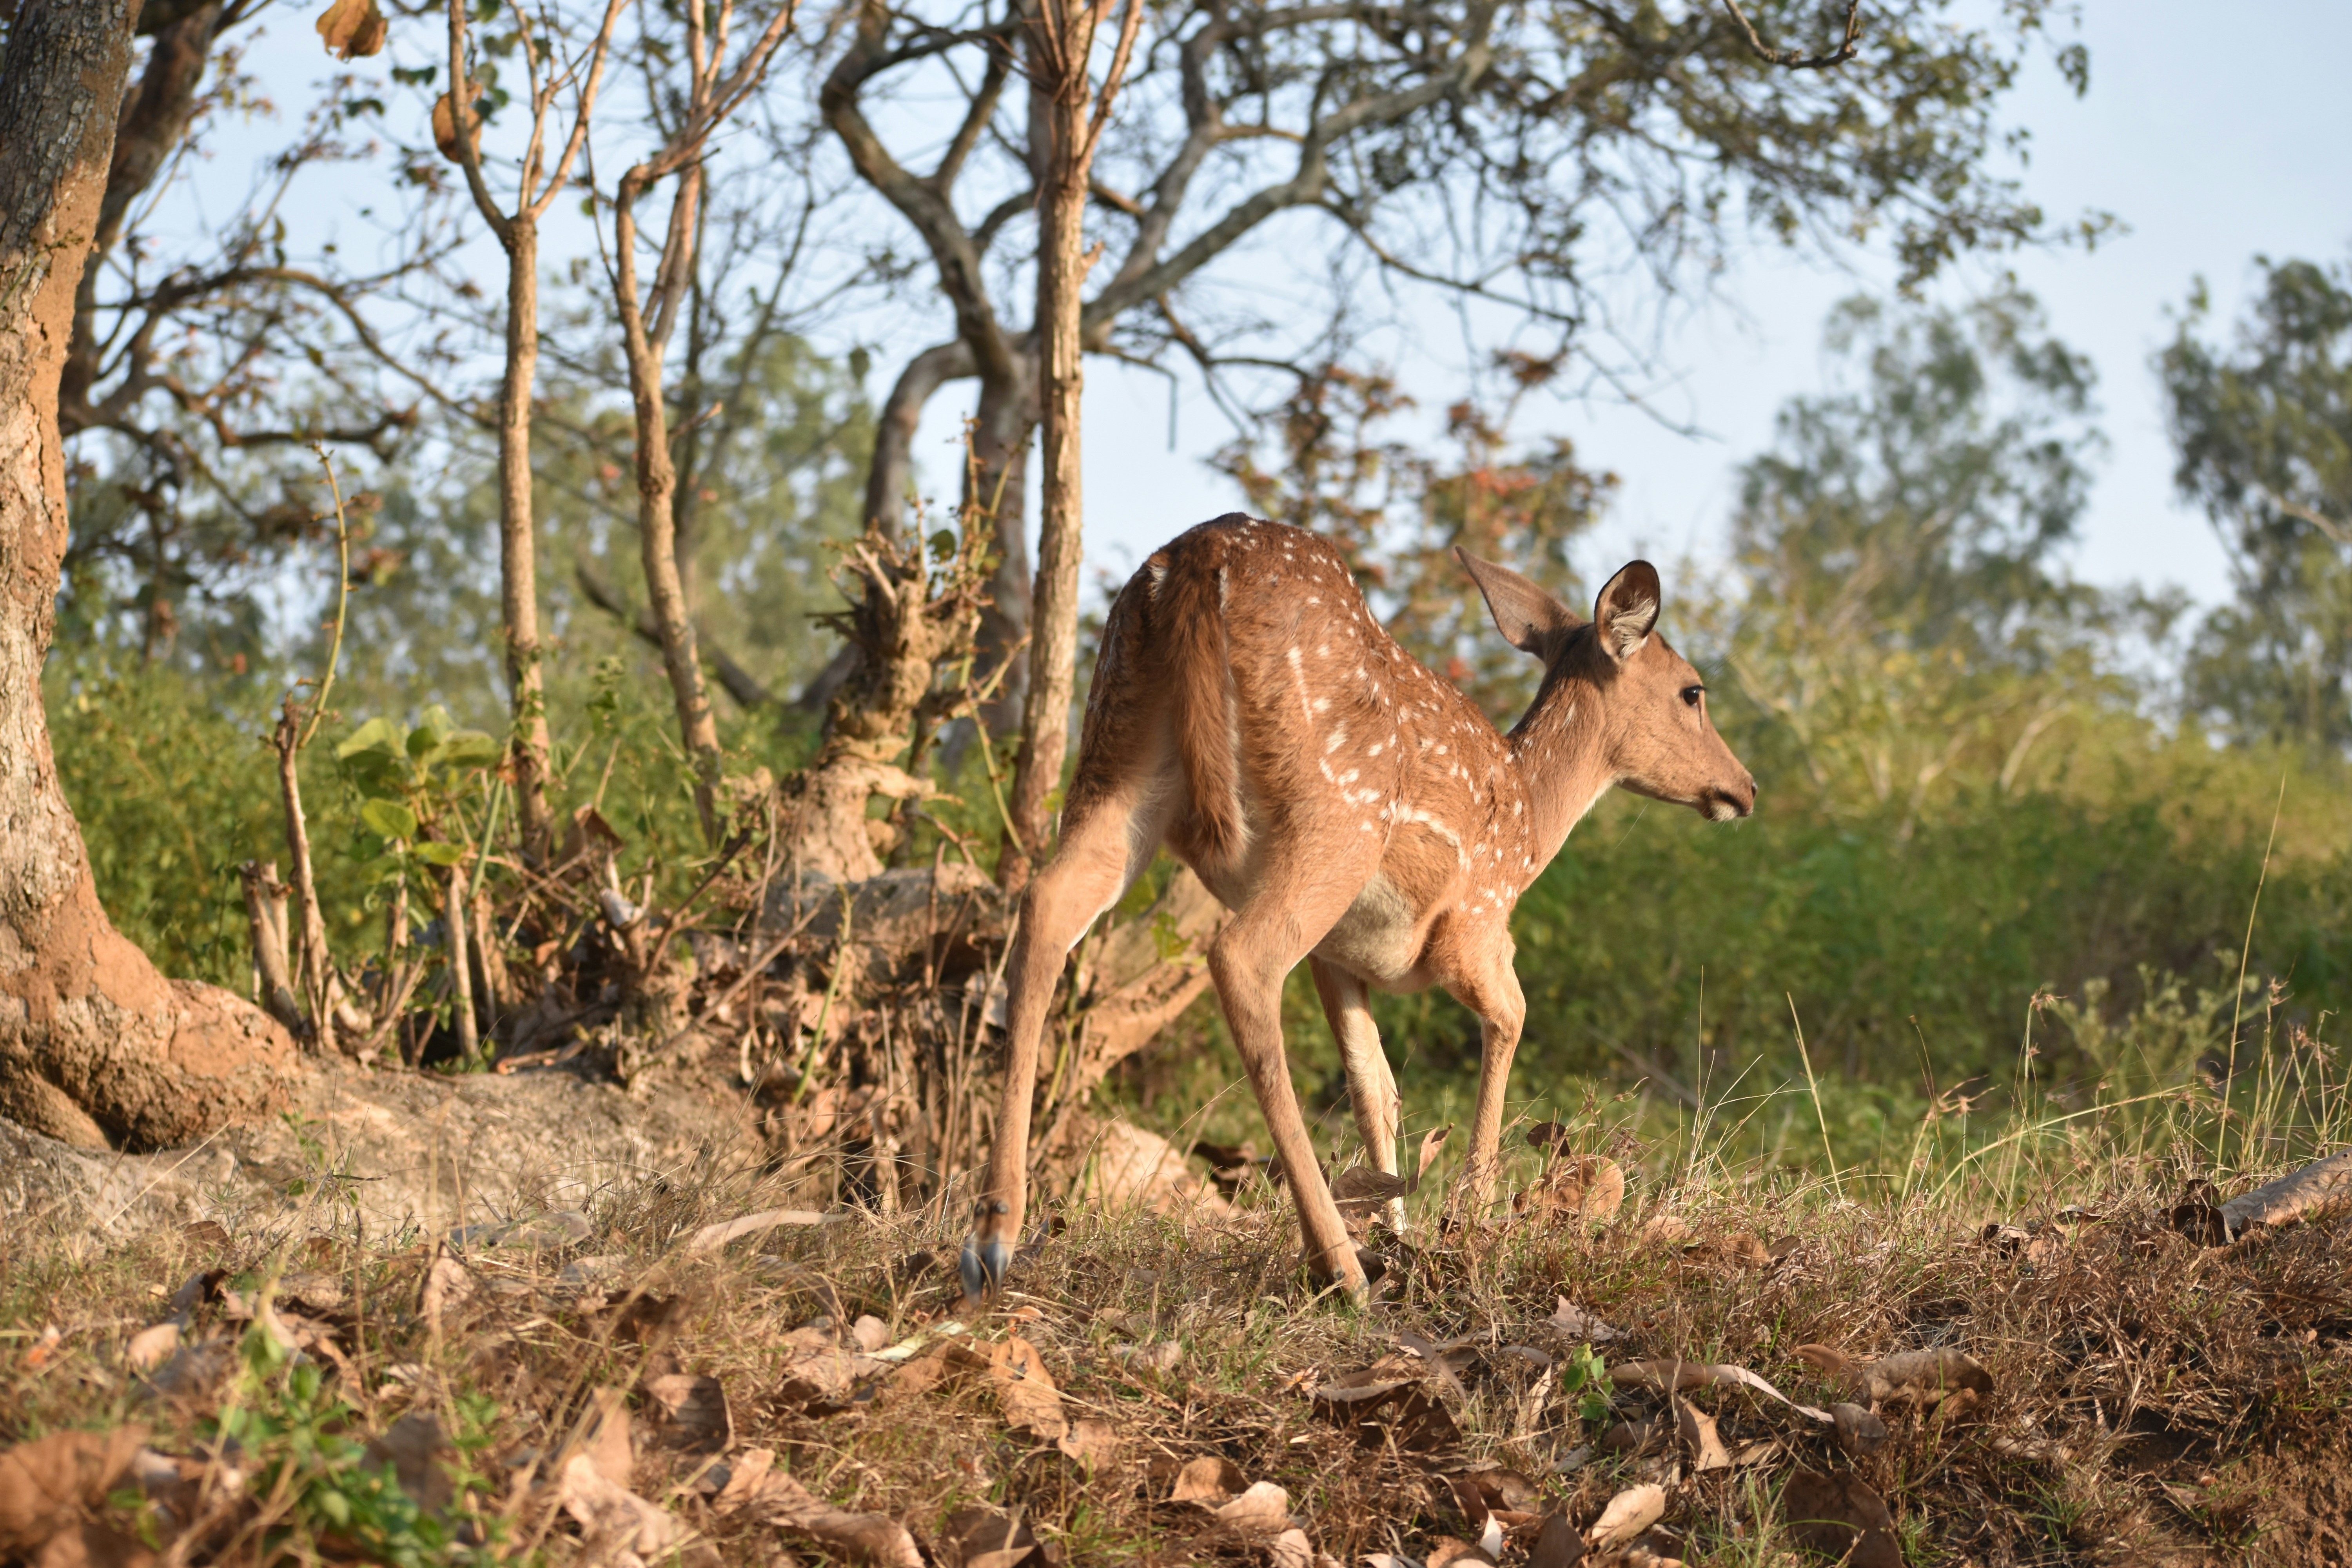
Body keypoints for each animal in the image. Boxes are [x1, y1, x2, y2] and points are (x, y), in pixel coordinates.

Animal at [961, 514, 1755, 1302]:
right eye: (1692, 691)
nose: (1744, 787)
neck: (1531, 827)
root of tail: (1196, 558)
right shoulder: (1476, 928)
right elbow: (1508, 1021)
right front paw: (1467, 1223)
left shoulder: (1342, 958)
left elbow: (1376, 1084)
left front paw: (1400, 1230)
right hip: (1337, 817)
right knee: (1240, 959)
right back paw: (1338, 1266)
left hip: (1117, 751)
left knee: (1048, 903)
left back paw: (993, 1238)